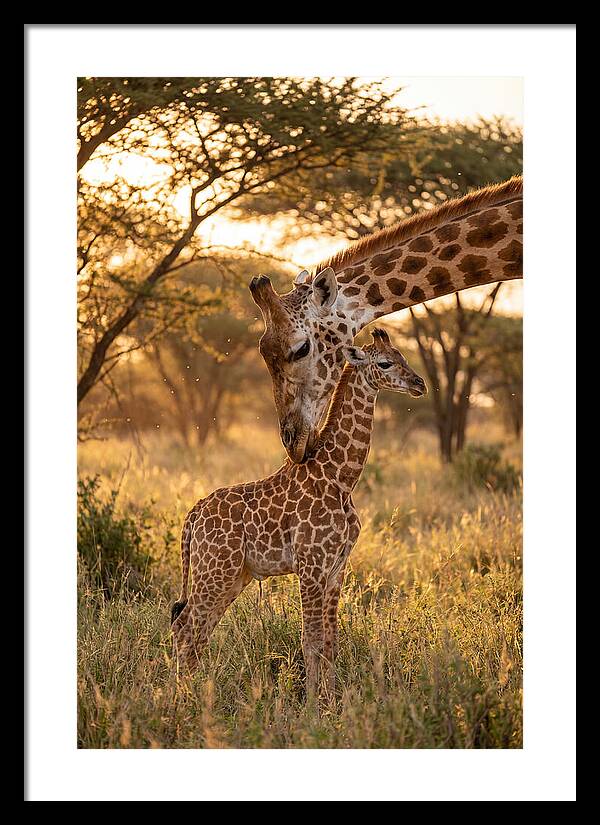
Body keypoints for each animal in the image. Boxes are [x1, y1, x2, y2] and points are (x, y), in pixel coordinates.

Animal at [171, 328, 427, 699]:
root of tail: (192, 517)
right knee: (186, 628)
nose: (419, 383)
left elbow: (331, 641)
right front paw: (313, 706)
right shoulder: (311, 564)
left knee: (197, 630)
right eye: (385, 363)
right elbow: (311, 641)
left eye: (402, 356)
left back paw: (194, 695)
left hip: (233, 575)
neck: (340, 477)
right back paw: (181, 701)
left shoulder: (336, 568)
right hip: (215, 570)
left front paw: (332, 702)